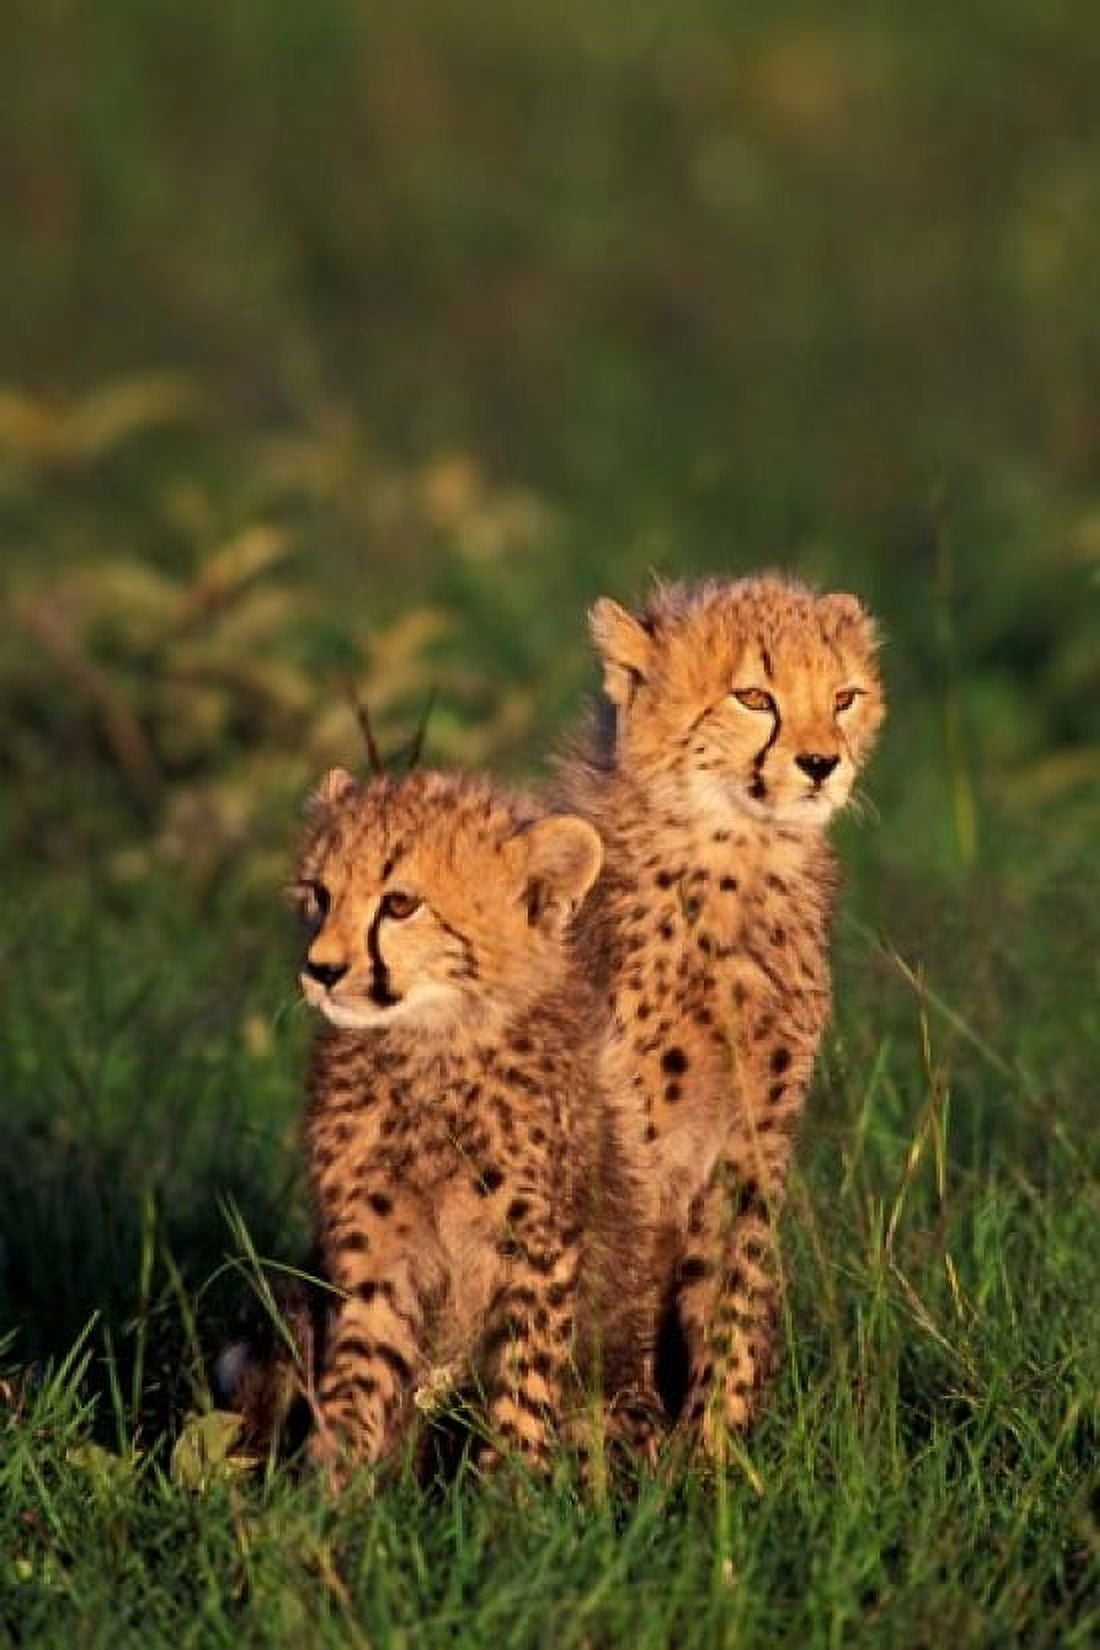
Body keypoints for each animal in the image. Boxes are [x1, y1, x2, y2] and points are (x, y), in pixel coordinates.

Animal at [285, 764, 651, 1480]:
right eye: (319, 893)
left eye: (400, 904)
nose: (321, 969)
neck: (432, 1046)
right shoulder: (377, 1245)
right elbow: (361, 1367)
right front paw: (329, 1484)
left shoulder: (537, 1242)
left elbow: (525, 1373)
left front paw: (512, 1490)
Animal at [558, 573, 884, 1460]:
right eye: (754, 697)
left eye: (844, 697)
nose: (821, 763)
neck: (739, 857)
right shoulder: (630, 1136)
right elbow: (626, 1280)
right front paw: (621, 1444)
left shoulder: (755, 1131)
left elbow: (734, 1280)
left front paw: (720, 1451)